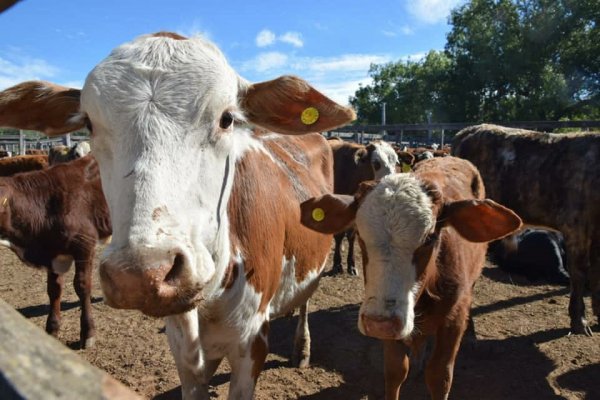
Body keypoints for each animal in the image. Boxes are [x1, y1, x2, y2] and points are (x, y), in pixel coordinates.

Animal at [0, 155, 111, 348]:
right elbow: (54, 289)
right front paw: (52, 329)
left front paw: (88, 332)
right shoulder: (53, 253)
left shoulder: (84, 244)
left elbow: (82, 286)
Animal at [298, 157, 520, 400]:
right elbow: (395, 370)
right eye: (360, 235)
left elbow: (440, 376)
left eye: (430, 238)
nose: (378, 323)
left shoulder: (453, 319)